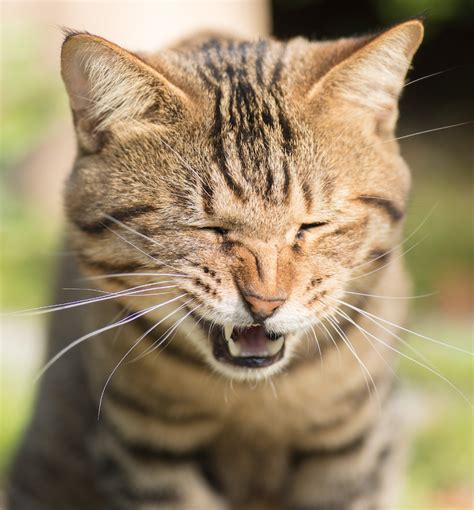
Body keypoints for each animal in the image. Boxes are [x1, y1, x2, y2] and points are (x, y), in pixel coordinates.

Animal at [5, 17, 424, 508]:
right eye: (208, 228)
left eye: (312, 225)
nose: (266, 303)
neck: (251, 401)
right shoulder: (145, 454)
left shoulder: (349, 450)